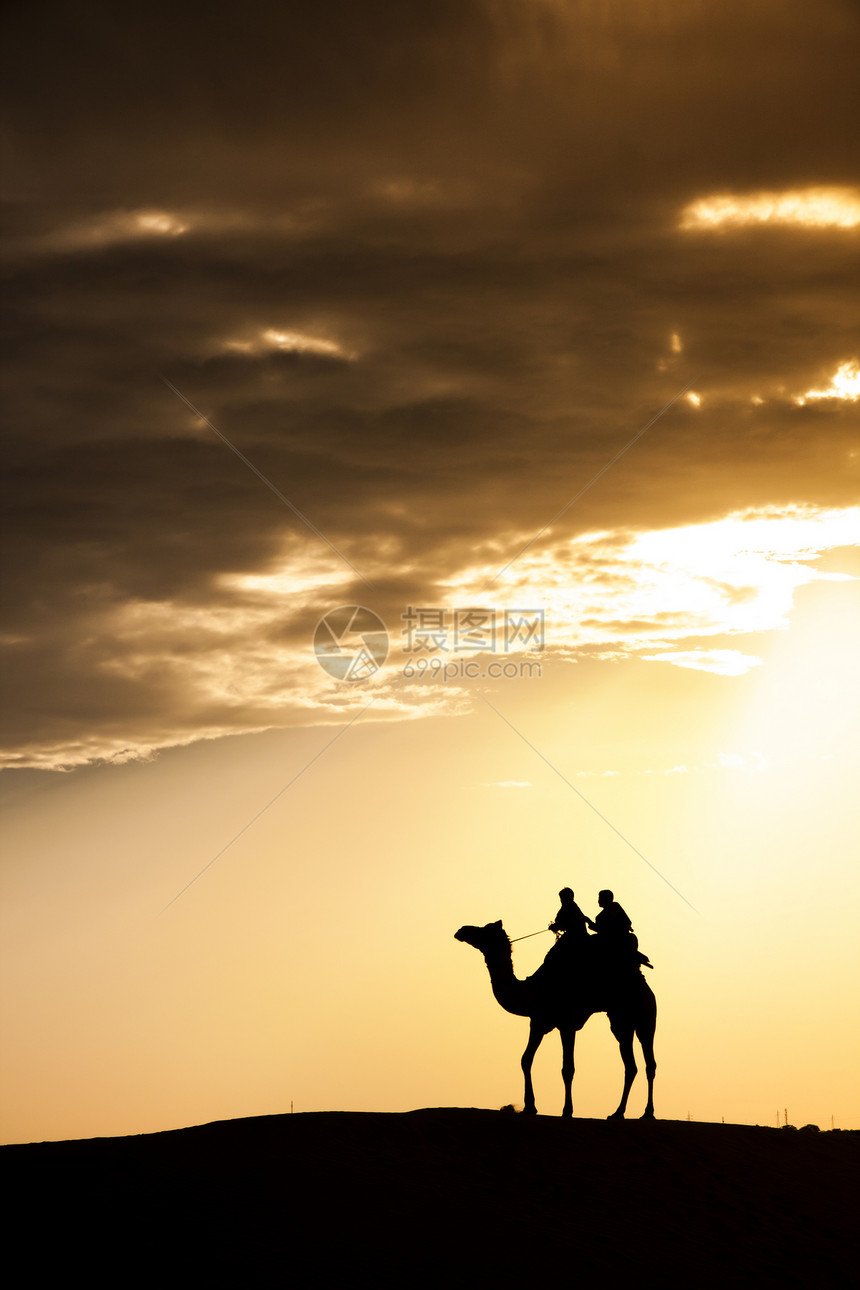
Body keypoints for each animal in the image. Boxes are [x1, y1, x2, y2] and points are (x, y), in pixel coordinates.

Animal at [456, 918, 660, 1119]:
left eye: (485, 930)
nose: (462, 930)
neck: (533, 991)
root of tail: (646, 987)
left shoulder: (567, 1024)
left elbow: (567, 1068)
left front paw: (567, 1110)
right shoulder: (538, 1023)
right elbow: (525, 1059)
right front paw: (530, 1106)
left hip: (645, 1018)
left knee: (648, 1062)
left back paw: (647, 1113)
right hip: (621, 1023)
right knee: (632, 1065)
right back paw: (619, 1112)